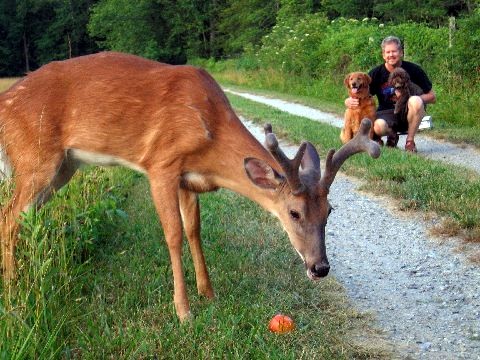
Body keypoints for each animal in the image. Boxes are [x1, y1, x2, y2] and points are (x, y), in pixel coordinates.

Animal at [0, 51, 378, 320]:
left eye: (330, 211)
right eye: (294, 212)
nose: (320, 268)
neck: (210, 132)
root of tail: (5, 103)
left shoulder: (188, 180)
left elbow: (194, 230)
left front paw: (208, 294)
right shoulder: (161, 165)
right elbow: (174, 234)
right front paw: (183, 311)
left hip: (64, 167)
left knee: (22, 218)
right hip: (35, 158)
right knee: (9, 217)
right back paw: (14, 289)